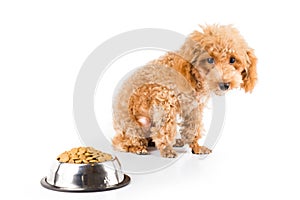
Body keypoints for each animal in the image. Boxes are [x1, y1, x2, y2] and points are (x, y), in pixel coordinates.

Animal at [111, 23, 256, 158]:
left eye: (233, 60)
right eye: (210, 60)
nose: (225, 84)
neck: (195, 78)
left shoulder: (194, 108)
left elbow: (193, 129)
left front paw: (196, 147)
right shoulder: (165, 102)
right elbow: (165, 130)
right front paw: (167, 149)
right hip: (134, 126)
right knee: (120, 142)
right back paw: (137, 148)